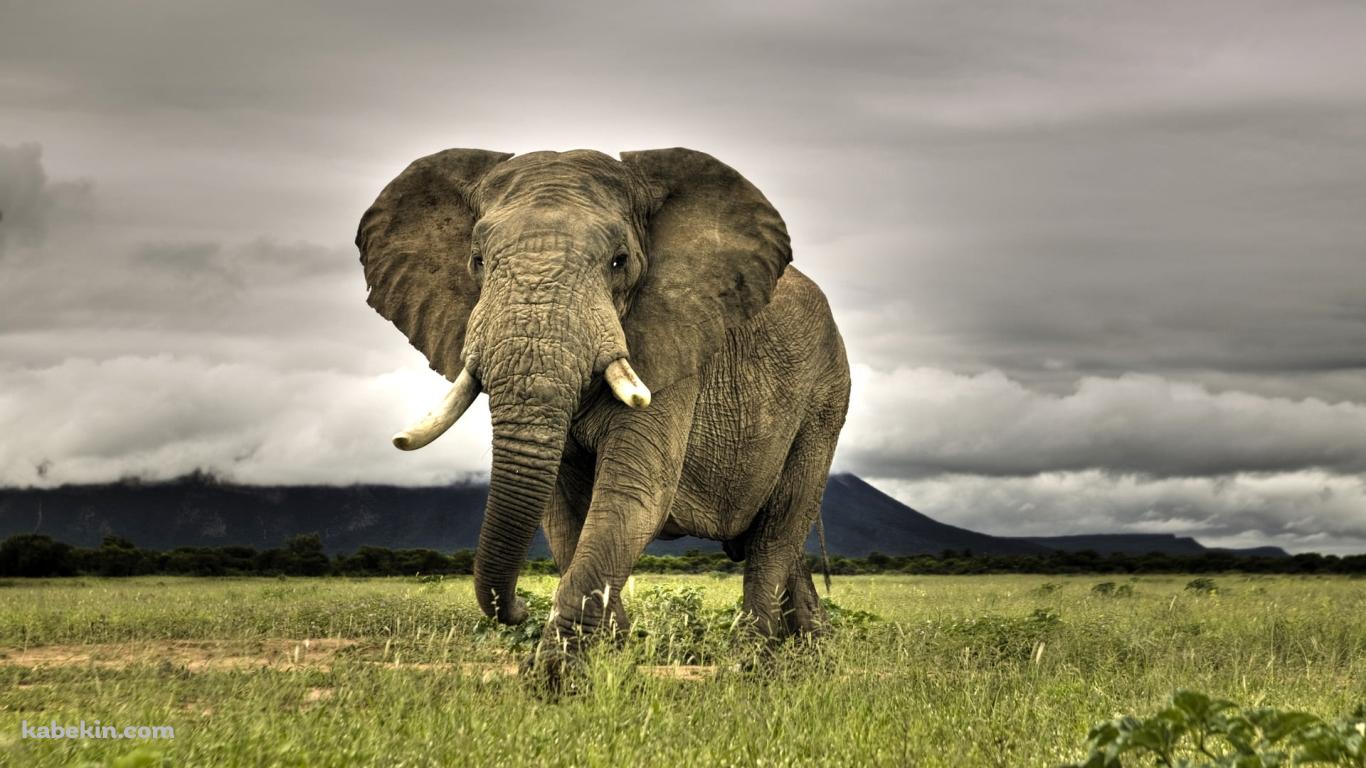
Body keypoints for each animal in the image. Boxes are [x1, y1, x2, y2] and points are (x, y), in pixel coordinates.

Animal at [356, 147, 850, 672]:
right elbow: (561, 513)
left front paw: (555, 676)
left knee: (778, 530)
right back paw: (812, 651)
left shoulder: (674, 346)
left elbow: (633, 494)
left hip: (825, 397)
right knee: (778, 542)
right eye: (477, 261)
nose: (518, 607)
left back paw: (750, 664)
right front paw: (612, 654)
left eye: (620, 261)